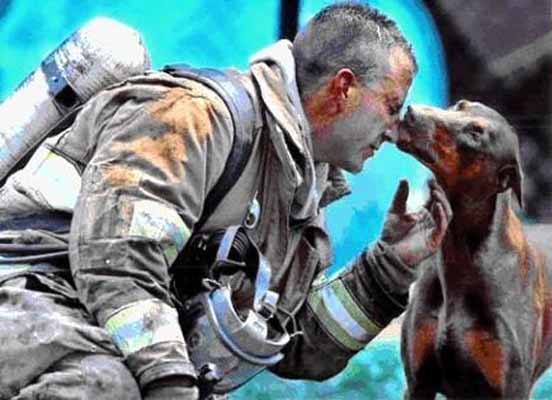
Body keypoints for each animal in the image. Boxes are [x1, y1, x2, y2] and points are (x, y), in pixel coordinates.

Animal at [396, 101, 552, 400]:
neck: (460, 254)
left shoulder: (511, 386)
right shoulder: (418, 383)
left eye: (476, 134)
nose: (411, 112)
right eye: (459, 106)